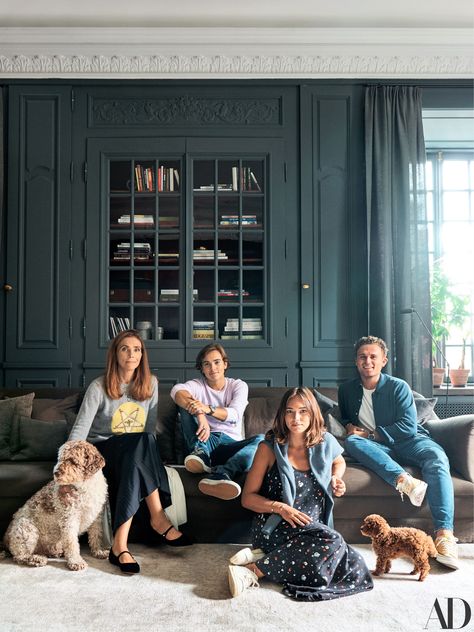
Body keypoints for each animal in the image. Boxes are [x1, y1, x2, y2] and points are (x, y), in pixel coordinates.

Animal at [3, 442, 108, 572]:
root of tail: (6, 539)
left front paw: (99, 551)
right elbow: (71, 542)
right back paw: (36, 559)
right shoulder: (69, 518)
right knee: (19, 556)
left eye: (72, 460)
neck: (86, 486)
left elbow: (96, 535)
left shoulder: (96, 516)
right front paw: (76, 561)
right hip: (26, 529)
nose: (55, 473)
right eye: (60, 458)